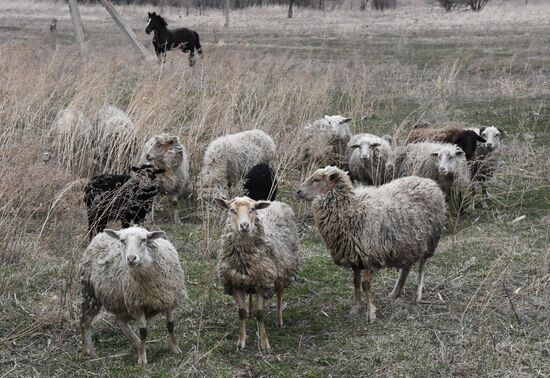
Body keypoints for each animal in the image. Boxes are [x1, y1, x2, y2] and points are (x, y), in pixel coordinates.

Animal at [80, 226, 188, 364]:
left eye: (144, 240)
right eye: (122, 241)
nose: (131, 258)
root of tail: (98, 236)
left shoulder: (169, 301)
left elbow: (170, 326)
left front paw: (176, 349)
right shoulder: (137, 306)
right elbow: (143, 332)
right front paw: (142, 358)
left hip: (123, 303)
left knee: (120, 321)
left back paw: (136, 343)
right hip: (90, 293)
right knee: (85, 321)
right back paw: (90, 351)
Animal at [216, 198, 302, 352]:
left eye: (253, 209)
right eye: (232, 210)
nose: (244, 226)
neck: (243, 258)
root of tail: (275, 202)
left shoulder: (264, 282)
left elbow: (260, 314)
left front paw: (264, 343)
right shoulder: (235, 283)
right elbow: (241, 312)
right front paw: (241, 341)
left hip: (281, 271)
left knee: (279, 294)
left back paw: (279, 320)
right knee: (251, 295)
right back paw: (250, 310)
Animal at [298, 166, 448, 322]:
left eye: (316, 180)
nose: (298, 191)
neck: (351, 210)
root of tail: (430, 182)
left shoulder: (371, 256)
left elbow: (365, 285)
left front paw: (371, 313)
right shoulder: (355, 258)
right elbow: (356, 283)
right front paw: (356, 308)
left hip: (430, 240)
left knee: (422, 267)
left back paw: (418, 295)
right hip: (407, 244)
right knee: (406, 268)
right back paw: (395, 292)